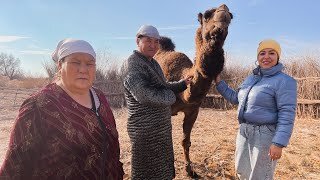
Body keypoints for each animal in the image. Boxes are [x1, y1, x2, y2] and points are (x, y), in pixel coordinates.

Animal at [154, 3, 232, 177]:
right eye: (207, 14)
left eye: (231, 16)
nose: (223, 12)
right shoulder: (165, 109)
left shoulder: (193, 110)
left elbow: (185, 141)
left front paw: (190, 170)